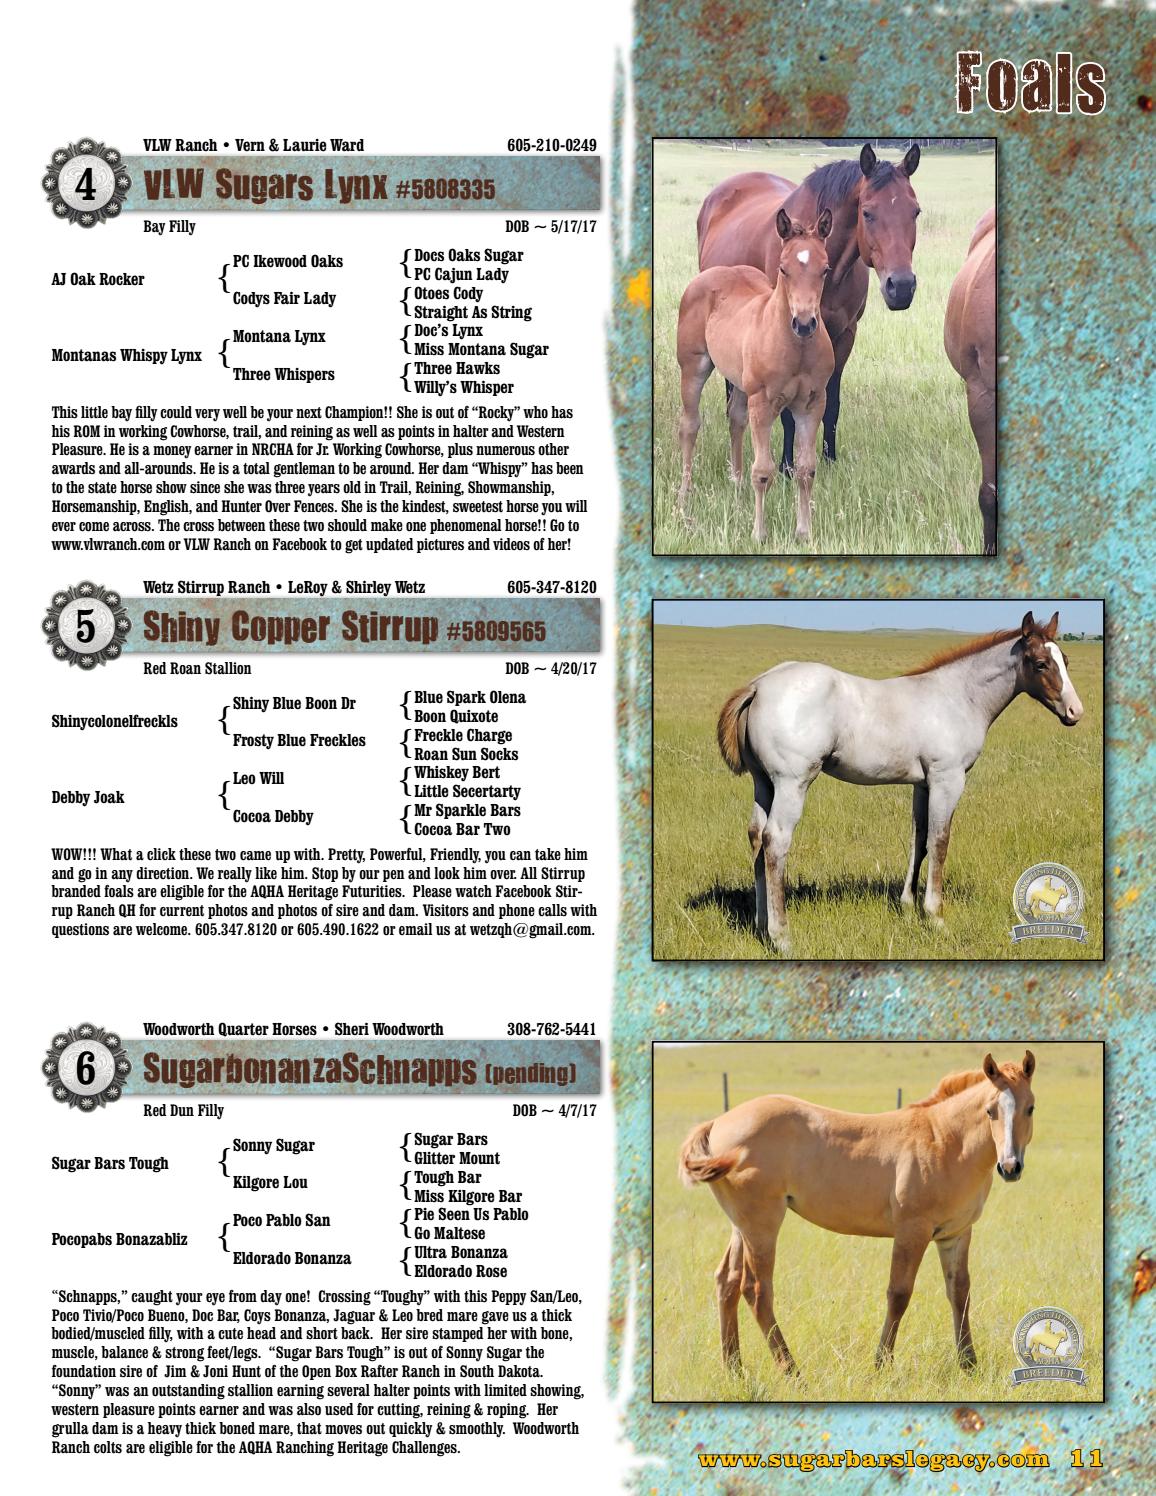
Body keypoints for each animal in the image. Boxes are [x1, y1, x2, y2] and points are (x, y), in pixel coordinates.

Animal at [676, 209, 835, 544]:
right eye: (783, 269)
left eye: (825, 269)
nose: (804, 323)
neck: (796, 348)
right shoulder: (762, 403)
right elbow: (763, 471)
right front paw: (759, 534)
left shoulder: (813, 404)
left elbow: (806, 469)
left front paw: (804, 532)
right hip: (693, 366)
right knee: (689, 425)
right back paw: (684, 495)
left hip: (739, 381)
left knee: (735, 419)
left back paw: (736, 486)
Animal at [678, 1051, 1037, 1376]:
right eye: (990, 1110)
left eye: (1030, 1107)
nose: (1010, 1167)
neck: (943, 1139)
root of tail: (719, 1122)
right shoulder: (912, 1231)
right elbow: (898, 1294)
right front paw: (881, 1364)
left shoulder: (955, 1234)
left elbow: (959, 1293)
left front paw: (969, 1364)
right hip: (762, 1225)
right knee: (756, 1289)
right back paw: (792, 1371)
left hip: (741, 1226)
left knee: (727, 1280)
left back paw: (734, 1369)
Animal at [697, 143, 921, 469]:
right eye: (867, 212)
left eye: (915, 211)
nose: (901, 287)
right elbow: (789, 412)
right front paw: (787, 466)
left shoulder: (844, 335)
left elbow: (832, 402)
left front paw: (829, 458)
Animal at [716, 611, 1084, 950]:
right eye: (1040, 663)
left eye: (1065, 660)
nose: (1075, 712)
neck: (956, 697)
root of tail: (759, 685)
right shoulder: (947, 780)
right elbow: (939, 840)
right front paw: (935, 916)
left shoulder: (922, 784)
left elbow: (918, 839)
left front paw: (908, 906)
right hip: (792, 784)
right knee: (775, 841)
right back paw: (781, 936)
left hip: (764, 784)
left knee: (756, 837)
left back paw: (761, 925)